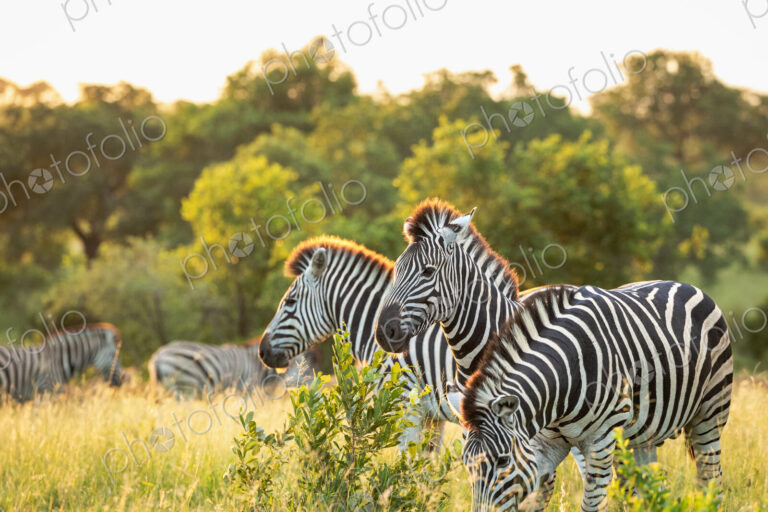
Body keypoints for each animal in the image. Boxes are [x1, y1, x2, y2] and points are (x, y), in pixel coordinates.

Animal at [460, 285, 732, 511]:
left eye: (503, 460)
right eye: (466, 464)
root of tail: (690, 286)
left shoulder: (602, 439)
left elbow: (591, 505)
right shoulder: (544, 444)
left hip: (710, 414)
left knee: (711, 481)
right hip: (642, 438)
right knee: (650, 489)